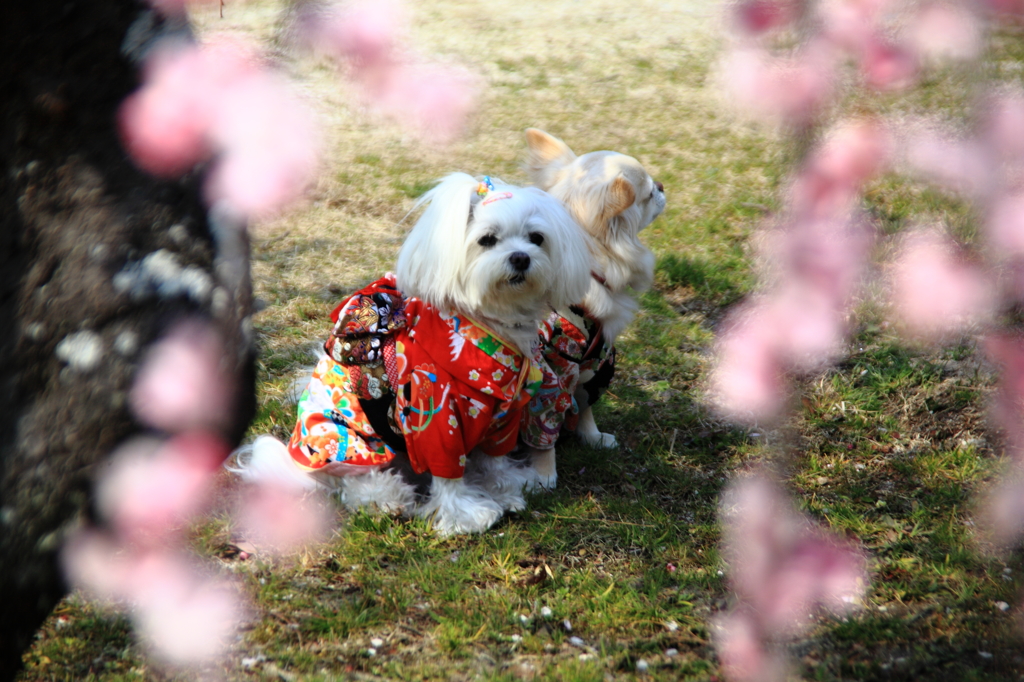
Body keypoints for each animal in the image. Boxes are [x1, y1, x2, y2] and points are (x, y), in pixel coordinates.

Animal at [227, 173, 589, 532]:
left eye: (536, 238)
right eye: (487, 239)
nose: (520, 257)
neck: (490, 327)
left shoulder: (505, 418)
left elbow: (495, 458)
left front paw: (507, 488)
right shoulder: (434, 417)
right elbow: (447, 472)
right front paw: (466, 514)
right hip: (346, 438)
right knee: (354, 482)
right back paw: (387, 498)